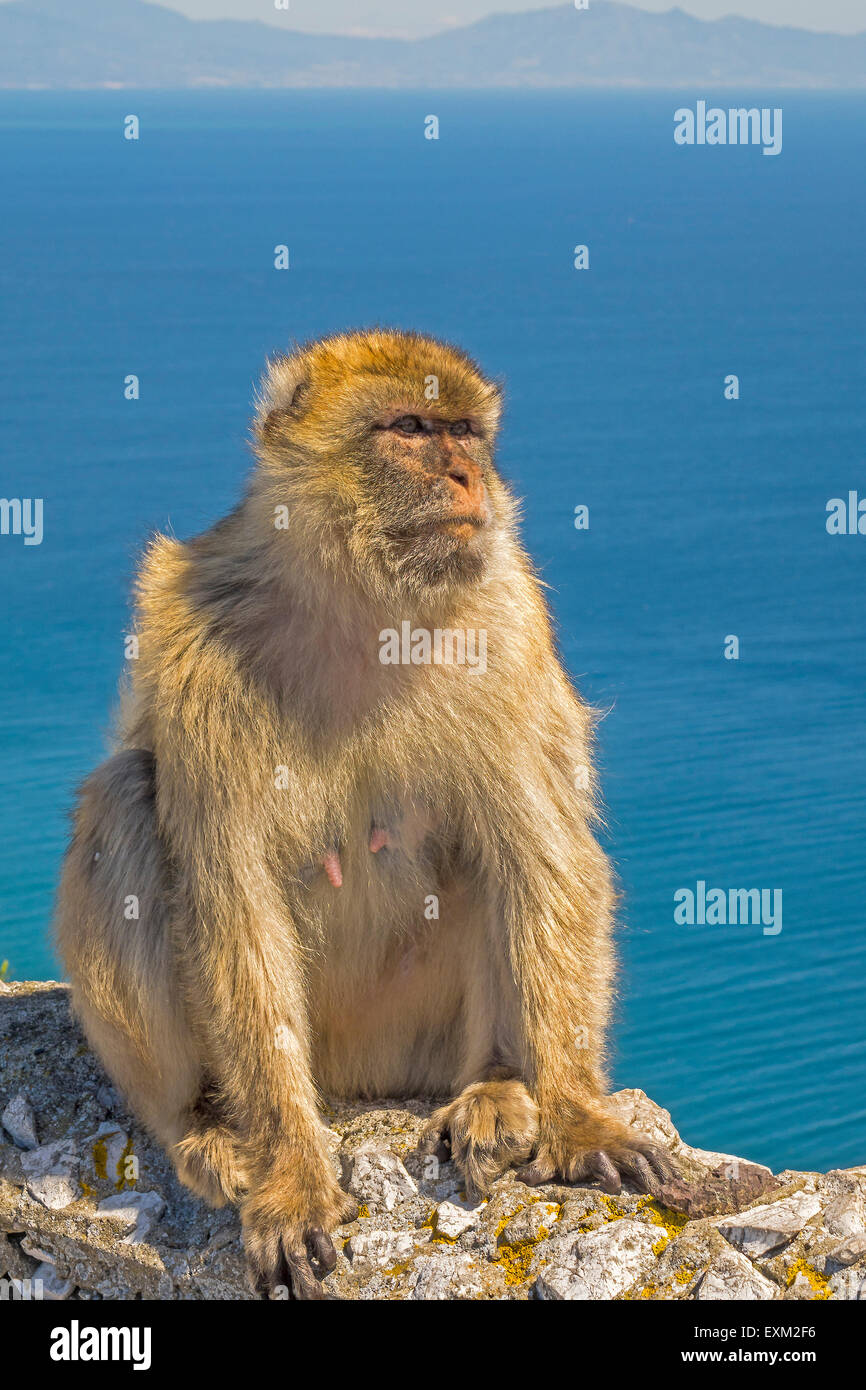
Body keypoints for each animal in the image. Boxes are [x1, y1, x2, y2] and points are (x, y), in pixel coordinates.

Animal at [55, 328, 678, 1301]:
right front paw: (292, 1180)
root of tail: (361, 1080)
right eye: (412, 428)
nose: (467, 475)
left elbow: (546, 859)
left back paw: (498, 1087)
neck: (362, 604)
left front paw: (579, 1119)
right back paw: (203, 1127)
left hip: (416, 1043)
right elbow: (234, 900)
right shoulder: (198, 656)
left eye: (468, 432)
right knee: (127, 796)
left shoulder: (504, 619)